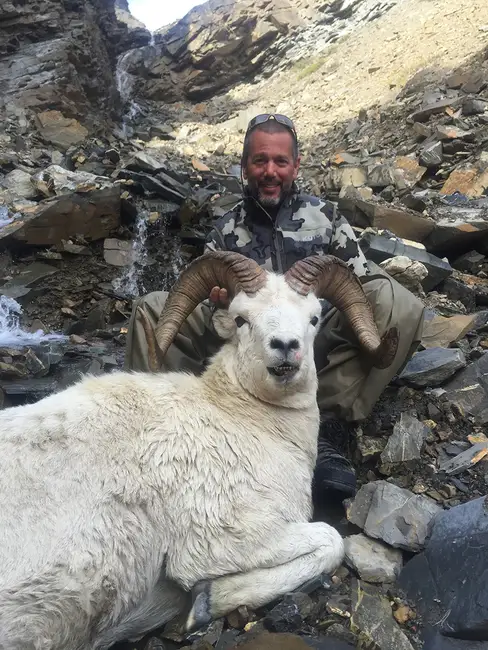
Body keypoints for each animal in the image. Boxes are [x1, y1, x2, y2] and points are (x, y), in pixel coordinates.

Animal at [0, 251, 398, 650]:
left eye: (313, 318)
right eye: (241, 319)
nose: (285, 347)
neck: (242, 419)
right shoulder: (220, 541)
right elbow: (332, 542)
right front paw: (204, 605)